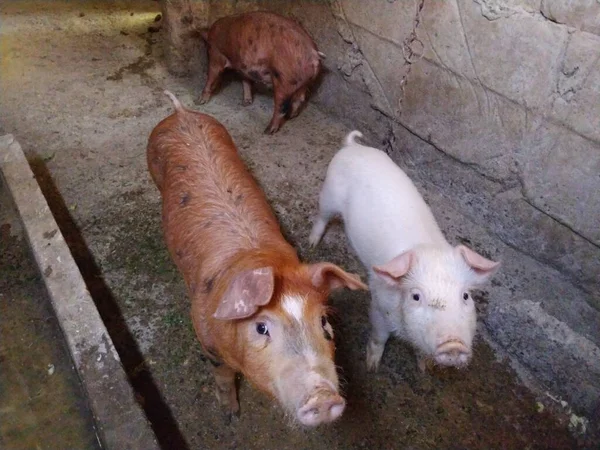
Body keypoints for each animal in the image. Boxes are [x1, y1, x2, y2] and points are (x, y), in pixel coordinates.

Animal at [148, 90, 368, 426]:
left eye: (324, 321)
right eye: (261, 328)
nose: (322, 396)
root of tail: (181, 112)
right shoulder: (206, 340)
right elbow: (223, 377)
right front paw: (231, 415)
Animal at [198, 10, 326, 134]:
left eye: (207, 49)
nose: (198, 101)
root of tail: (314, 54)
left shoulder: (216, 54)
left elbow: (212, 75)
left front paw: (200, 101)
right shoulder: (244, 67)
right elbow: (246, 81)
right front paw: (246, 103)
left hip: (284, 79)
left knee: (281, 106)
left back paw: (267, 131)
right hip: (304, 82)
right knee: (300, 98)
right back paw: (291, 116)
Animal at [308, 132, 500, 370]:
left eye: (465, 296)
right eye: (416, 296)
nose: (453, 345)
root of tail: (352, 147)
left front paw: (423, 367)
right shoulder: (379, 305)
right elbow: (379, 336)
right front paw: (372, 366)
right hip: (329, 194)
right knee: (322, 216)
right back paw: (312, 243)